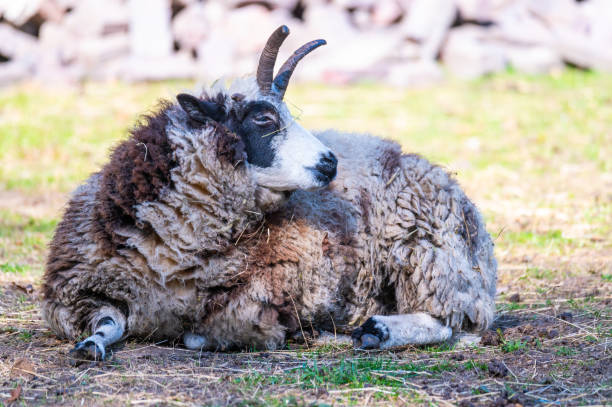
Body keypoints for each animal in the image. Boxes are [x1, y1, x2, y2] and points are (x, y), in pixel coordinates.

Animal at [41, 26, 498, 364]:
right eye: (263, 118)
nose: (331, 163)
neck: (170, 257)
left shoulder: (261, 297)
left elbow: (202, 334)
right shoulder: (75, 293)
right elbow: (107, 322)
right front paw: (91, 346)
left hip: (429, 252)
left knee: (450, 320)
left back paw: (377, 331)